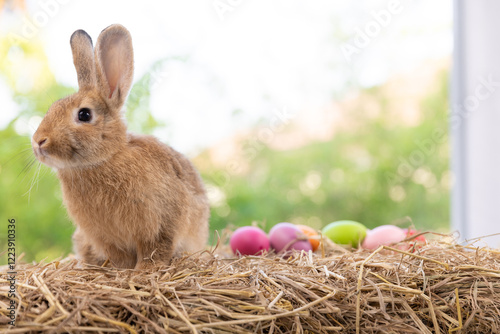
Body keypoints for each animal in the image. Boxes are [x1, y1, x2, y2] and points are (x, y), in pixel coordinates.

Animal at [29, 24, 209, 268]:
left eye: (84, 114)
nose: (38, 141)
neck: (105, 159)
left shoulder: (161, 223)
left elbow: (155, 249)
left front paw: (144, 270)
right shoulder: (105, 237)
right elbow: (119, 257)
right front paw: (123, 270)